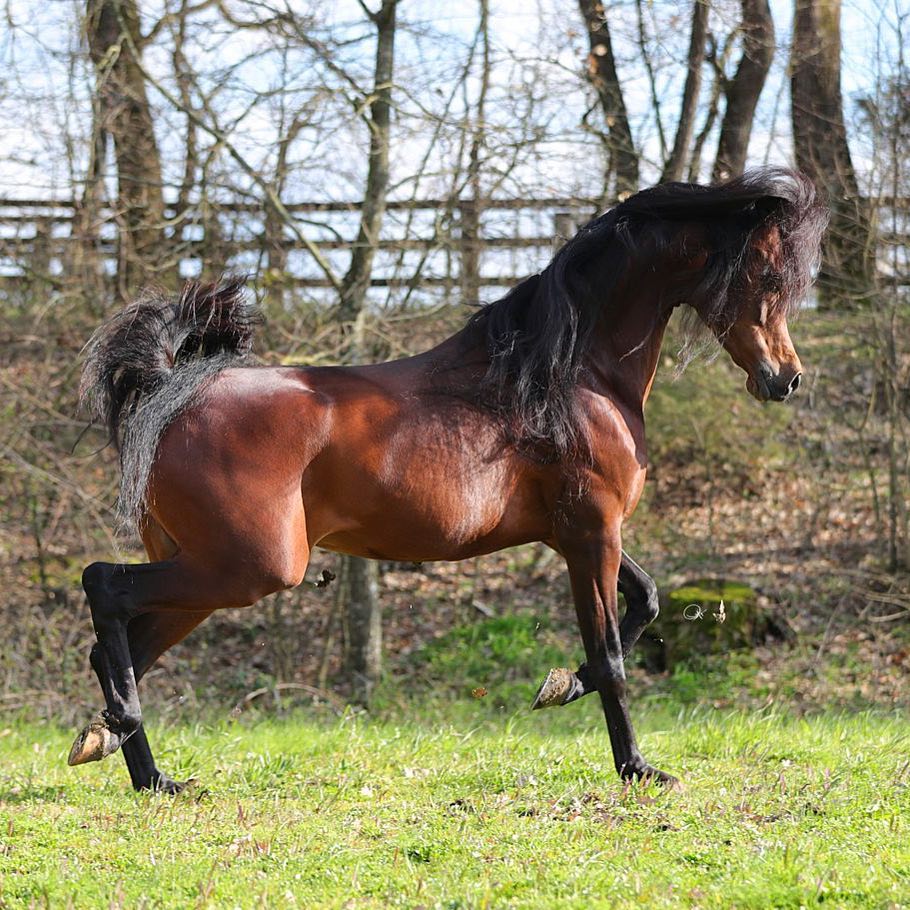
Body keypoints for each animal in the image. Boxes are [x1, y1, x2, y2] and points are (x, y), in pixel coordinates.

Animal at [69, 169, 826, 793]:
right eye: (767, 279)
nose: (785, 379)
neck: (570, 375)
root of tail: (176, 393)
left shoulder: (578, 534)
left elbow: (647, 601)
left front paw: (559, 686)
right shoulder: (592, 534)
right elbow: (611, 653)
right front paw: (638, 767)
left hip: (205, 572)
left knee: (119, 642)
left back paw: (132, 761)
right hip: (248, 567)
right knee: (103, 586)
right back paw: (124, 731)